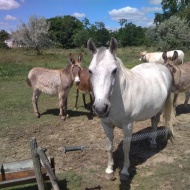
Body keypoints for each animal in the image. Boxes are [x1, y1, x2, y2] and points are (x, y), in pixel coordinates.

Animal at [87, 37, 174, 181]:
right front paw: (109, 170)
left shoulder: (127, 125)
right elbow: (109, 146)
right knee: (152, 121)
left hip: (160, 109)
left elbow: (126, 148)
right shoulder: (106, 124)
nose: (100, 108)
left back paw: (153, 142)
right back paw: (149, 139)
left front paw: (124, 171)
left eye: (114, 70)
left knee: (156, 122)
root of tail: (161, 68)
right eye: (90, 71)